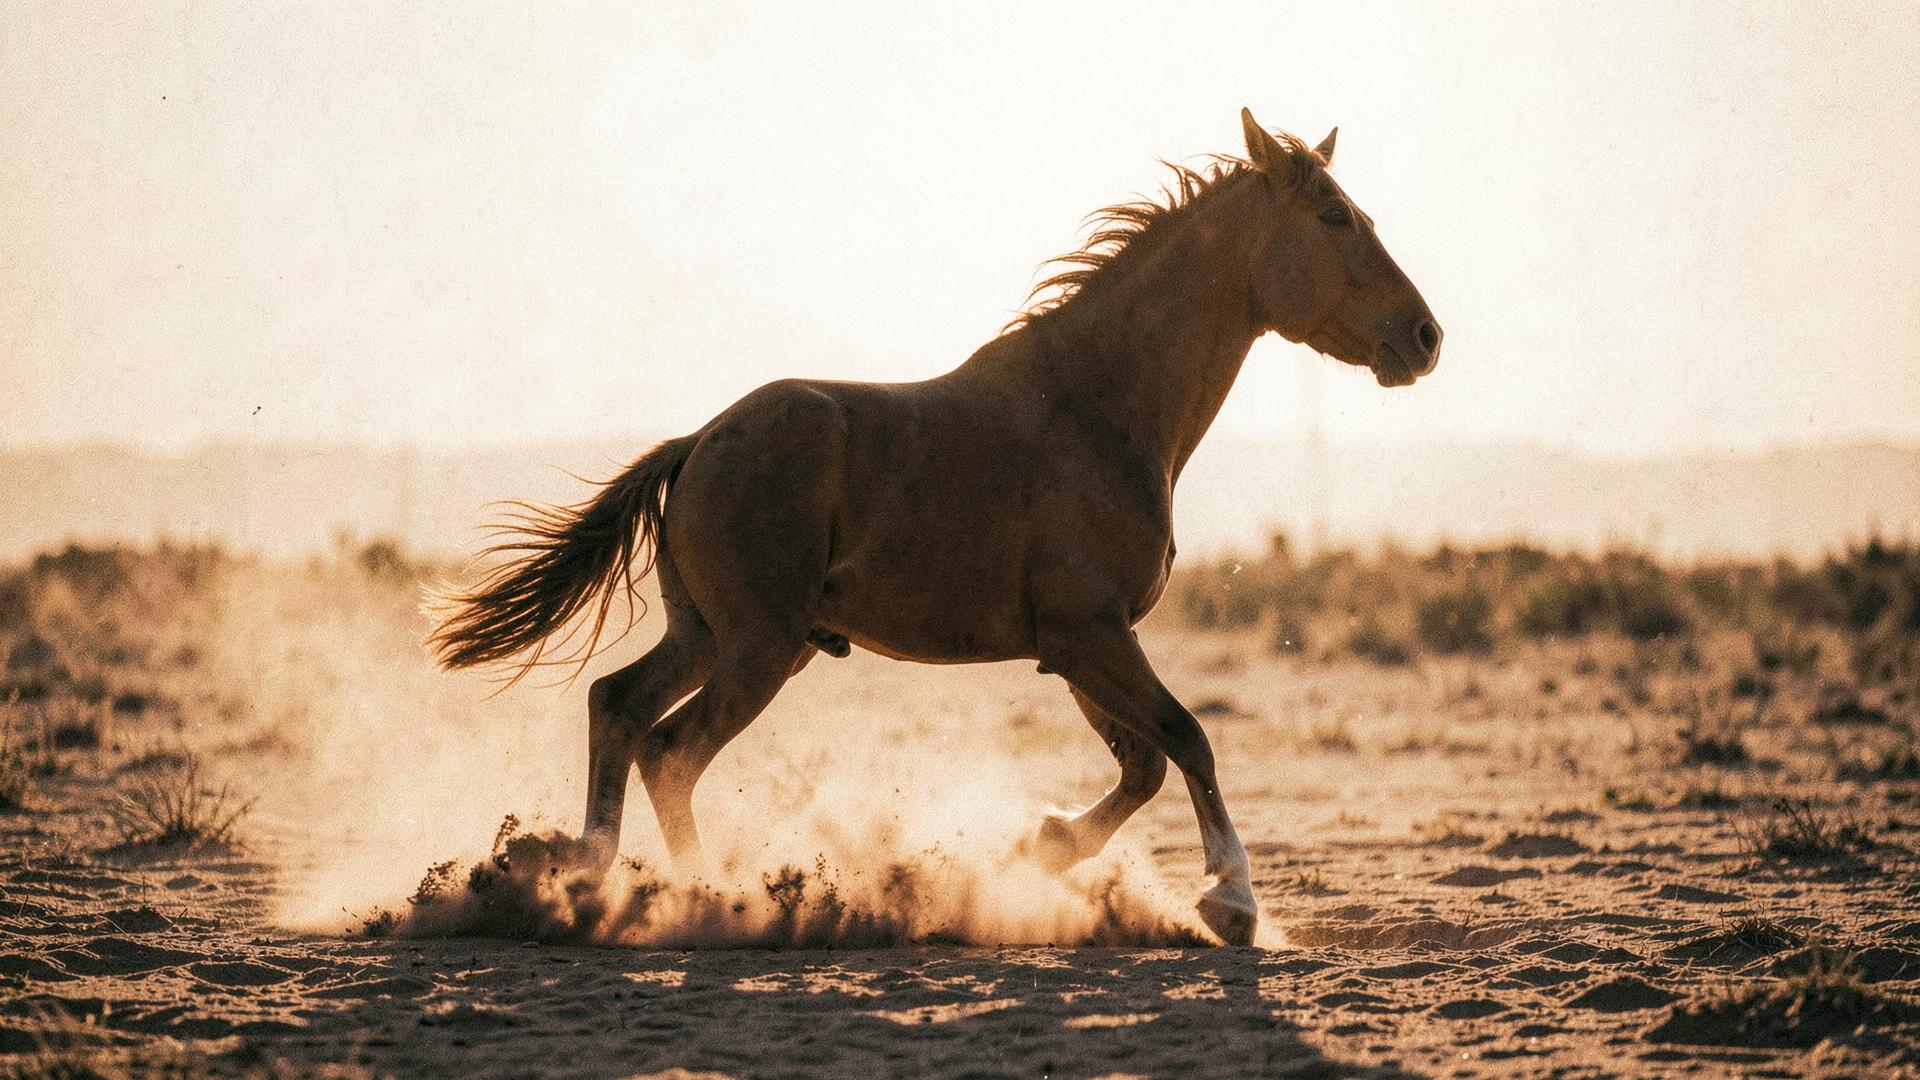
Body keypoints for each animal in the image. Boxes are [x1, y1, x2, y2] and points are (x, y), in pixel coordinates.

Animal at [427, 109, 1441, 945]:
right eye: (1335, 217)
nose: (1426, 338)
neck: (1101, 408)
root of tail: (698, 443)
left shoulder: (1075, 648)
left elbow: (1144, 766)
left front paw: (1044, 847)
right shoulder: (1094, 633)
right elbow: (1188, 738)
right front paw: (1231, 901)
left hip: (709, 635)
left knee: (618, 707)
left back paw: (582, 874)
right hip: (759, 646)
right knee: (671, 752)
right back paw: (702, 902)